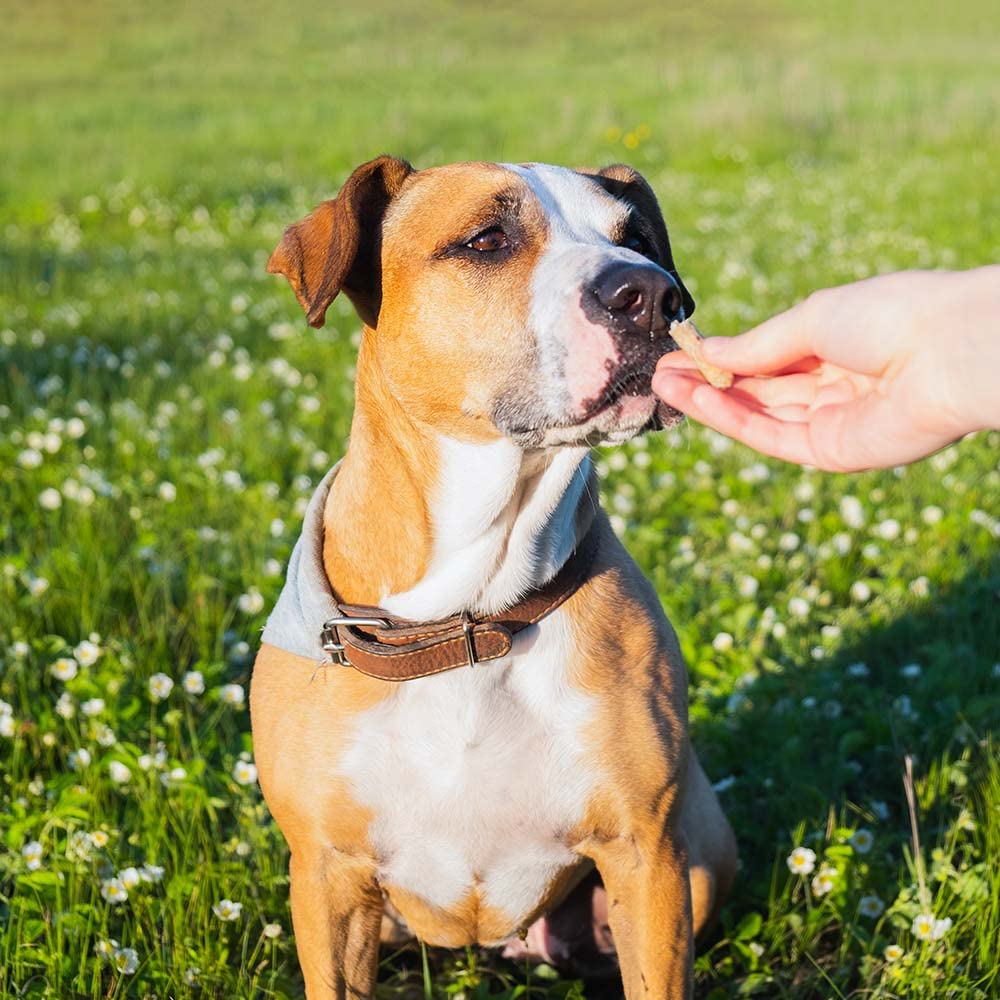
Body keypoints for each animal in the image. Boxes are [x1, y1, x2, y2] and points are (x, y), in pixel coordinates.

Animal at [250, 158, 736, 1000]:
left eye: (636, 237)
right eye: (486, 240)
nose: (652, 294)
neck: (469, 617)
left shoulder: (646, 854)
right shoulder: (326, 874)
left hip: (700, 854)